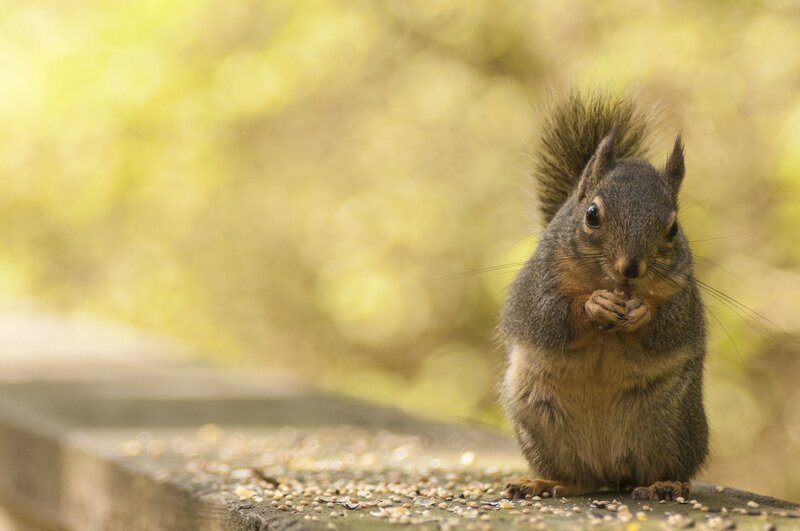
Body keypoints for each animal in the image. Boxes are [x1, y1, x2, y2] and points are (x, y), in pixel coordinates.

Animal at [500, 90, 708, 501]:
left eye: (673, 228)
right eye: (592, 214)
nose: (631, 268)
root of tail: (611, 472)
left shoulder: (685, 298)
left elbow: (670, 327)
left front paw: (642, 311)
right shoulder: (537, 286)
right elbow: (548, 316)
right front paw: (594, 306)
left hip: (674, 423)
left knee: (663, 468)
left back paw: (666, 484)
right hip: (540, 420)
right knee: (579, 478)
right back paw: (545, 482)